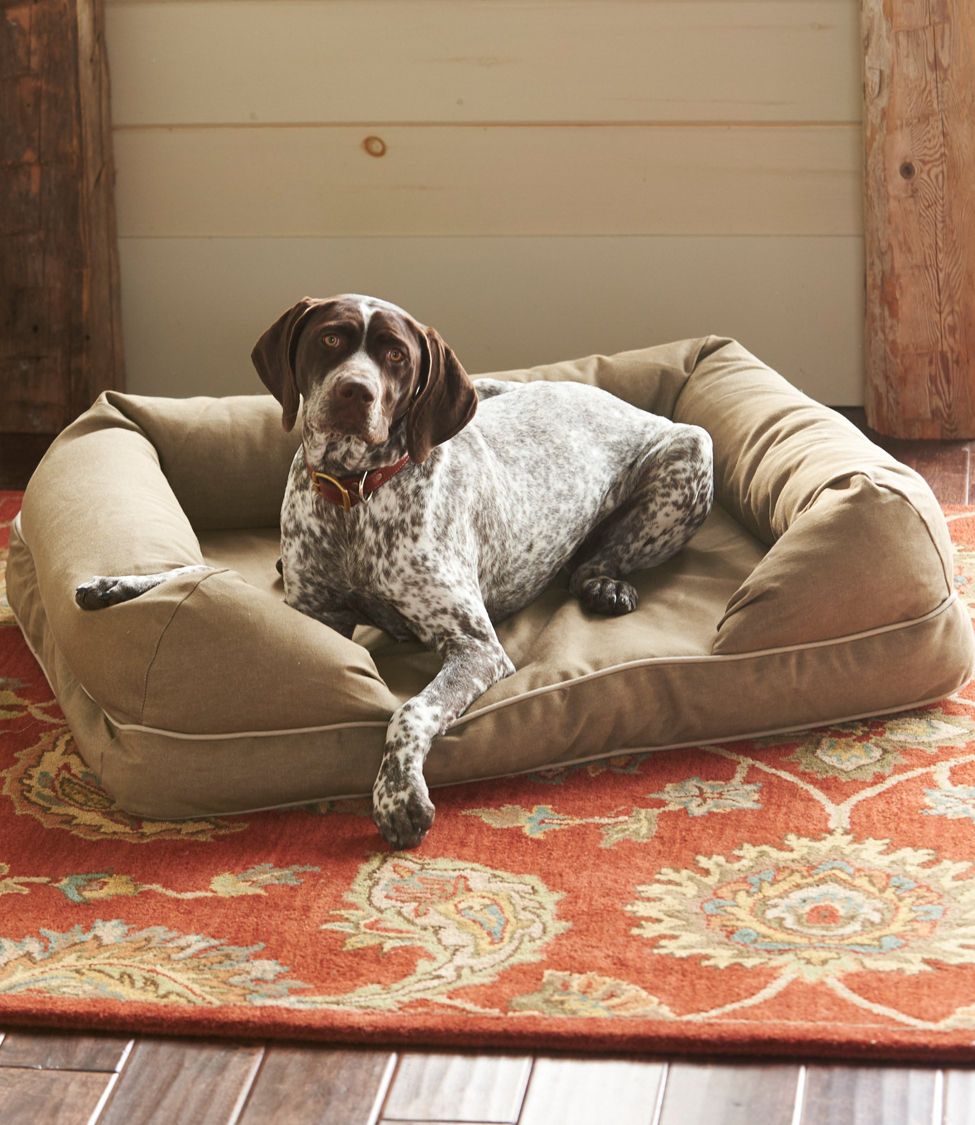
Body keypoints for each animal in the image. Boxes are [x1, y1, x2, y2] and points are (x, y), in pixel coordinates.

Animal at [76, 294, 715, 846]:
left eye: (396, 356)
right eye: (331, 339)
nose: (354, 393)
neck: (354, 495)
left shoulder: (476, 646)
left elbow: (409, 710)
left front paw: (398, 798)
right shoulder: (315, 614)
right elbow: (206, 571)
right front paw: (119, 582)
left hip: (690, 452)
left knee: (595, 560)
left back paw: (605, 584)